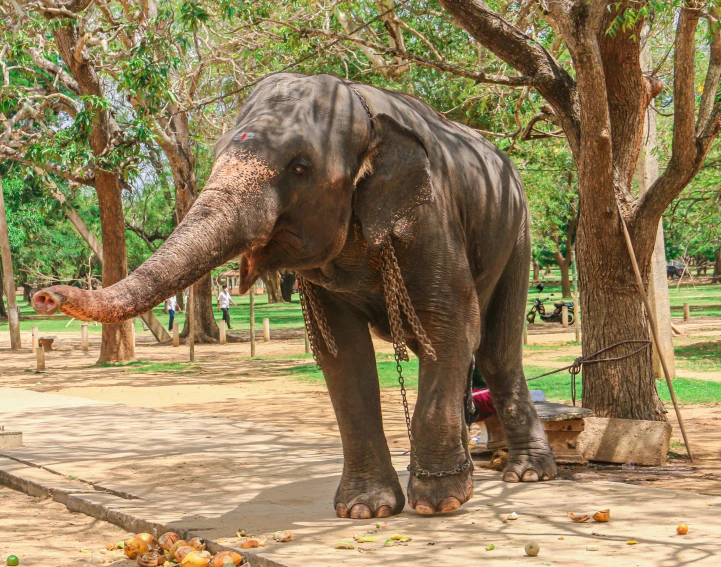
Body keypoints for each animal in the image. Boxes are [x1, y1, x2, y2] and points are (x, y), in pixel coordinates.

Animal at [31, 74, 556, 520]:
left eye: (300, 167)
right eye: (217, 152)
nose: (43, 297)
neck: (365, 111)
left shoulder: (431, 218)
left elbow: (448, 326)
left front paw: (439, 504)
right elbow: (342, 353)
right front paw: (365, 510)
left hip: (519, 231)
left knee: (495, 349)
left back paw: (526, 475)